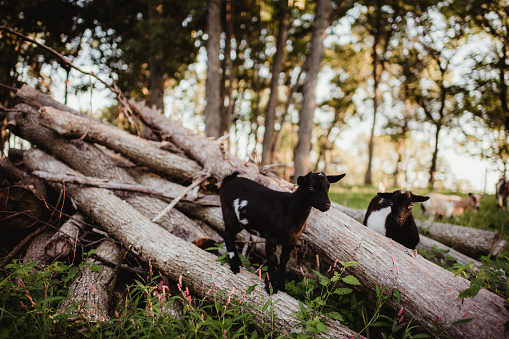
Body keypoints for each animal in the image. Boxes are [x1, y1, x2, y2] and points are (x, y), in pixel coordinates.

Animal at [218, 171, 346, 294]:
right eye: (311, 188)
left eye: (328, 186)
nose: (327, 205)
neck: (289, 210)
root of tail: (228, 182)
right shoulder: (271, 238)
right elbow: (272, 259)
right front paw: (270, 286)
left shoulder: (291, 240)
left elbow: (284, 260)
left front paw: (281, 286)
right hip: (229, 214)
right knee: (227, 235)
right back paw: (234, 265)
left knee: (231, 236)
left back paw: (238, 262)